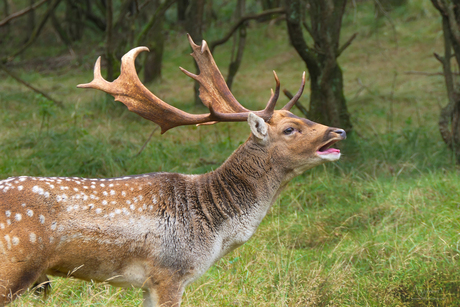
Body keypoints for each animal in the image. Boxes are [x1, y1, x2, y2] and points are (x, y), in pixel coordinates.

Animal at [0, 35, 344, 306]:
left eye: (303, 117)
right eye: (290, 129)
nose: (338, 131)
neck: (214, 230)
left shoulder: (150, 282)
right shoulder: (170, 272)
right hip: (12, 268)